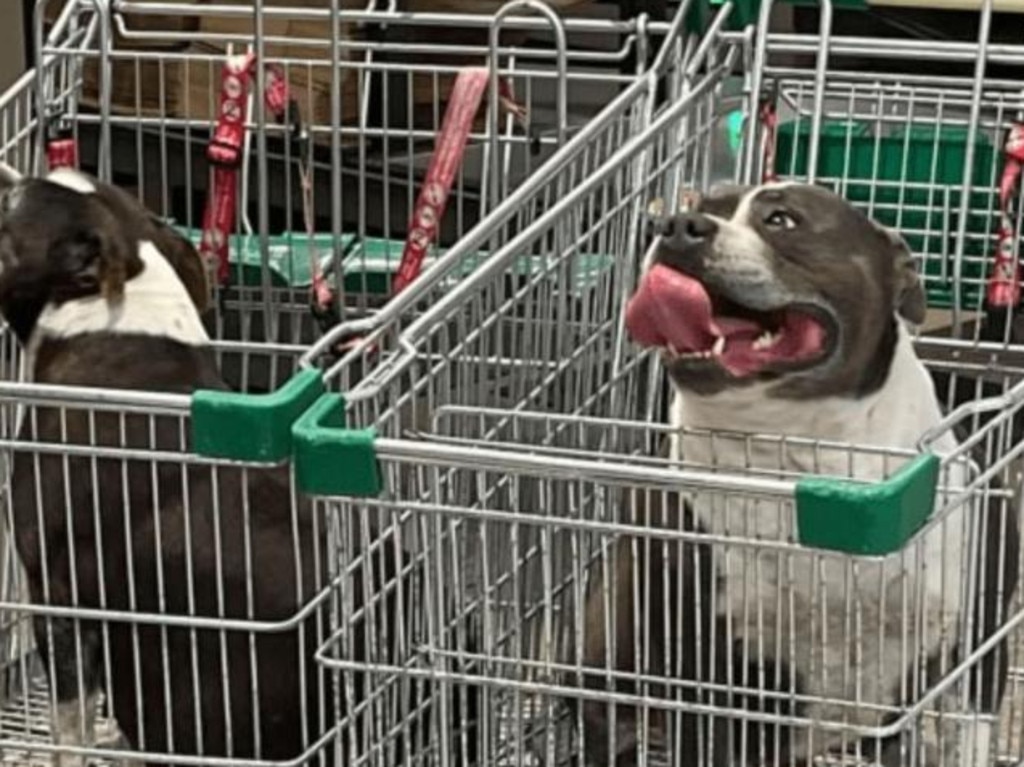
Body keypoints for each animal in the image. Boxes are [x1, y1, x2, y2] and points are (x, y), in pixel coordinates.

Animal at [581, 182, 1019, 761]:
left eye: (782, 220)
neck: (797, 456)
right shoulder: (702, 672)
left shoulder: (974, 659)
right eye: (692, 208)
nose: (674, 226)